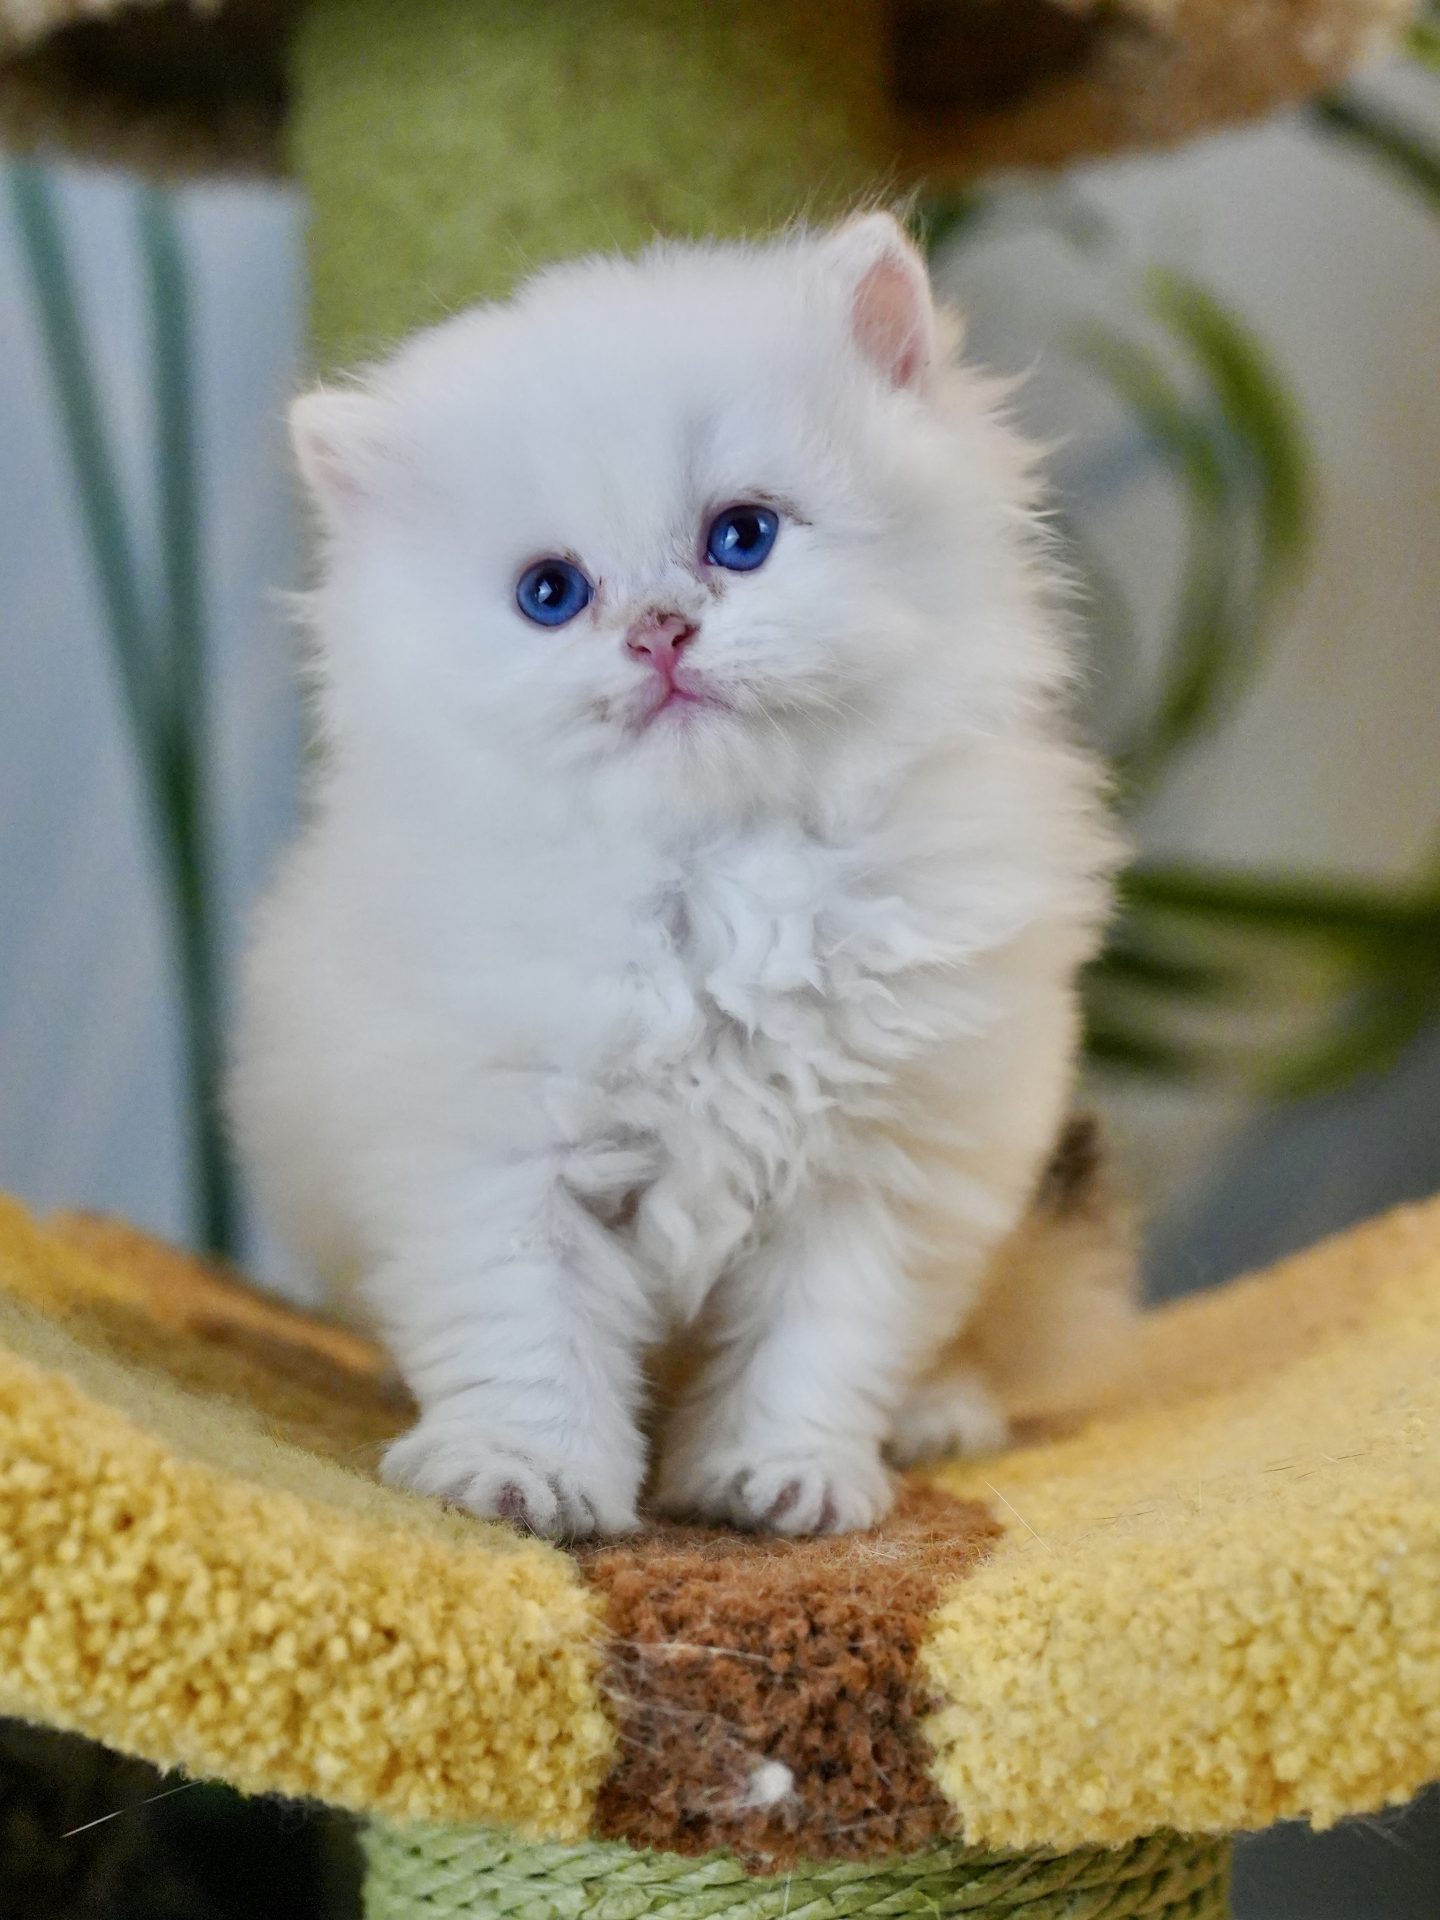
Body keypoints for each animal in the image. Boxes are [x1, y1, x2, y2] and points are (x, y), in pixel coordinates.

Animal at [231, 214, 1121, 1543]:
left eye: (742, 537)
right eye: (551, 594)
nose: (657, 629)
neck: (718, 878)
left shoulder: (885, 1164)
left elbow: (816, 1347)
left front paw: (783, 1485)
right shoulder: (494, 1158)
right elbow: (528, 1337)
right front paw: (523, 1481)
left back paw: (935, 1416)